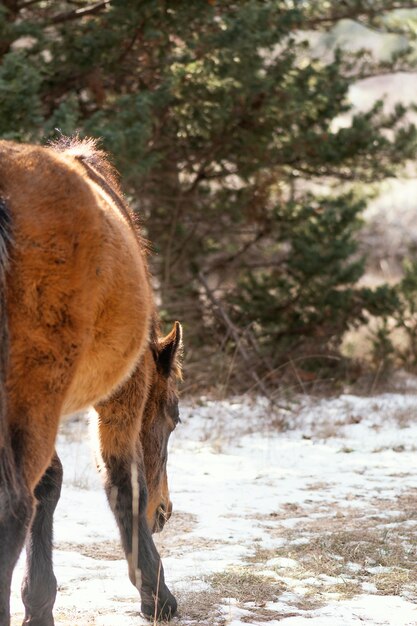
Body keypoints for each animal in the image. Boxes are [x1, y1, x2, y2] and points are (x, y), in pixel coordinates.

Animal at [0, 139, 182, 620]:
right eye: (174, 419)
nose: (164, 513)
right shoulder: (124, 391)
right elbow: (123, 482)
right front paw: (156, 595)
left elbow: (50, 481)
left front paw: (38, 601)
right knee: (14, 507)